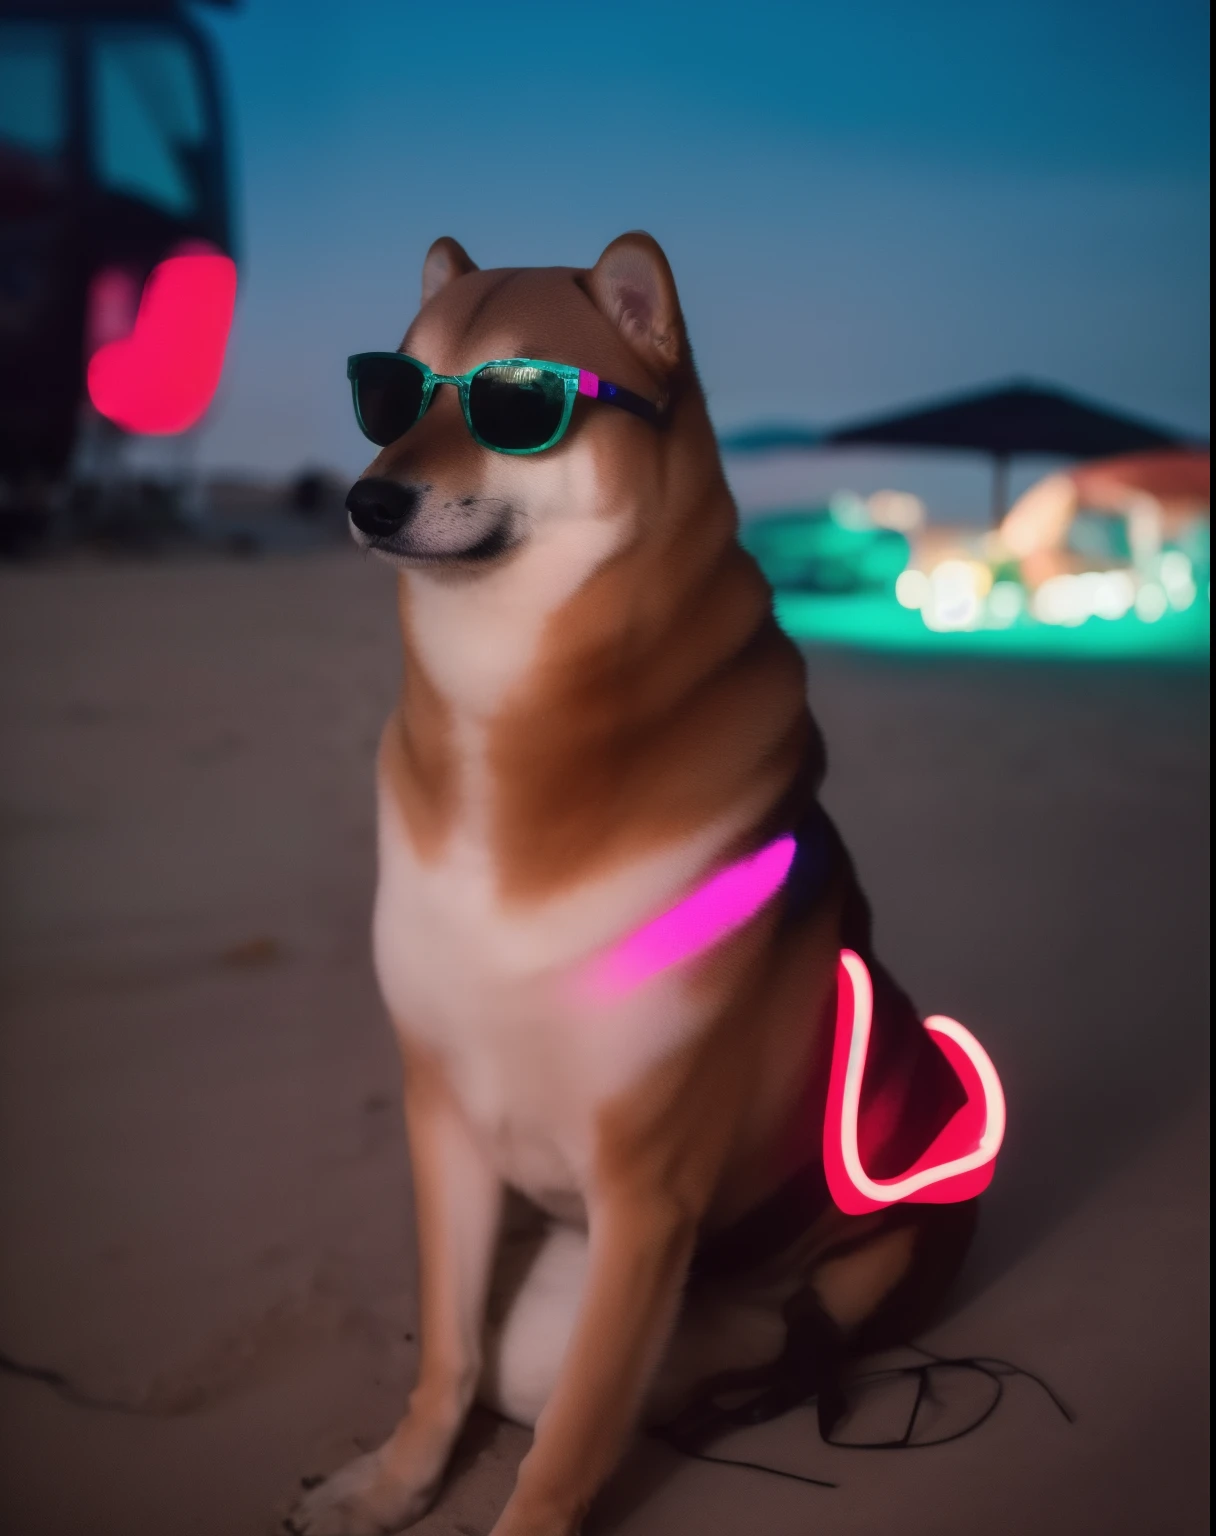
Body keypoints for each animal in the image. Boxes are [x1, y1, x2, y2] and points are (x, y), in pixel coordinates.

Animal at [290, 230, 994, 1536]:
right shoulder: (443, 1120)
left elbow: (571, 1430)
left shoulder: (647, 1192)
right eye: (388, 394)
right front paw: (394, 1483)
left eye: (518, 397)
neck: (515, 741)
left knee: (800, 1341)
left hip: (866, 1253)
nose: (367, 498)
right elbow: (450, 1352)